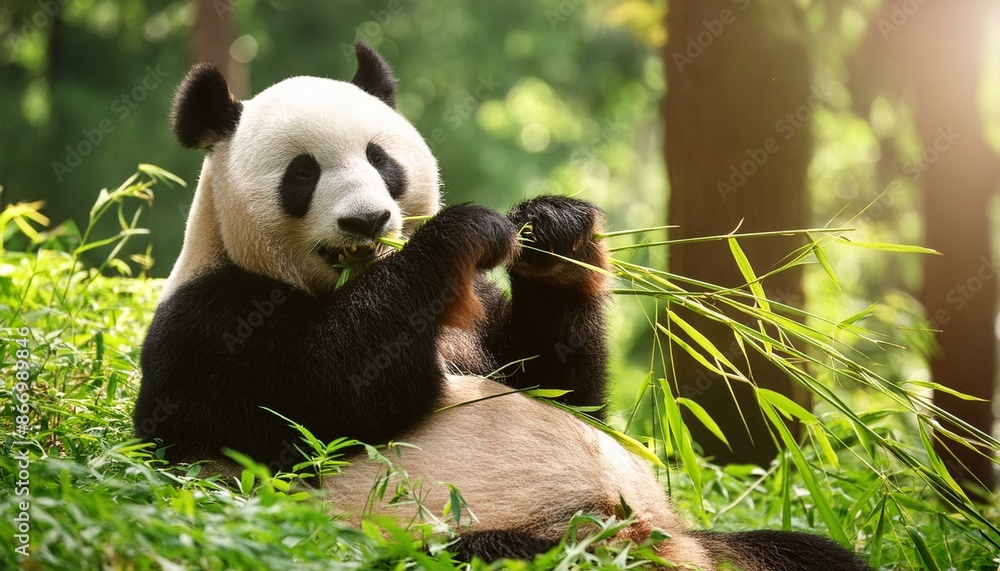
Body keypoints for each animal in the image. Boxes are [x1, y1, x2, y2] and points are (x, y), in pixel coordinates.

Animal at [134, 41, 871, 570]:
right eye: (303, 174)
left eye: (382, 160)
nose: (368, 221)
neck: (351, 281)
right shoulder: (209, 324)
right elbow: (323, 398)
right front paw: (465, 231)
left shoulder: (483, 320)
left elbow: (561, 388)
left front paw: (552, 230)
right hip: (476, 539)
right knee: (507, 554)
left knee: (815, 554)